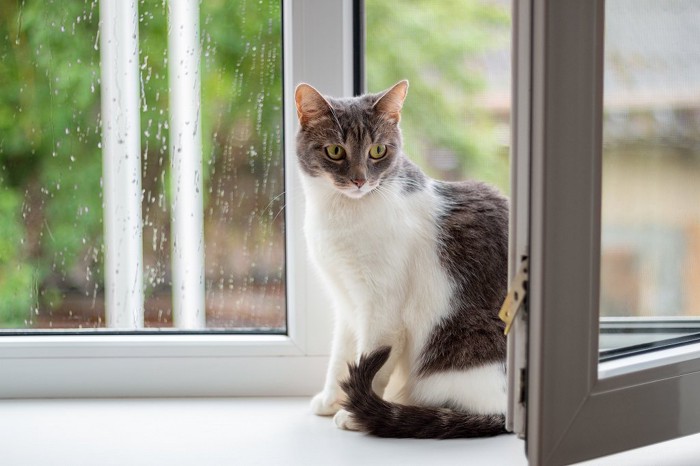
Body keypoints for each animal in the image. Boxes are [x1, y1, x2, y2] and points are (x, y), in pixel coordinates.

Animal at [292, 78, 506, 438]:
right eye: (335, 151)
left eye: (378, 151)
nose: (360, 180)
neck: (342, 214)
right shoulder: (346, 302)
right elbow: (341, 356)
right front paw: (332, 399)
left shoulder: (383, 308)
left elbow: (373, 363)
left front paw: (354, 414)